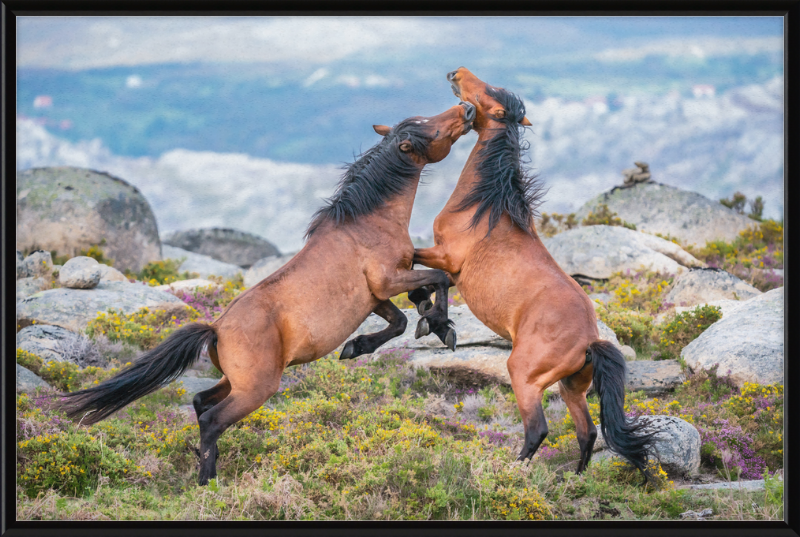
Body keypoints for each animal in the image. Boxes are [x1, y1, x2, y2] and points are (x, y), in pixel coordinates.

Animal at [62, 101, 478, 486]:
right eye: (429, 127)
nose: (467, 109)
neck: (367, 223)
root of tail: (216, 329)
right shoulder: (387, 281)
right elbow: (439, 280)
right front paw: (441, 327)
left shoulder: (375, 297)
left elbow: (402, 317)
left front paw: (360, 346)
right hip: (256, 389)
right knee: (211, 419)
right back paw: (207, 482)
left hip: (234, 382)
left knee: (199, 402)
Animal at [410, 68, 660, 482]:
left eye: (487, 93)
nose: (456, 74)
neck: (485, 207)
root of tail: (589, 341)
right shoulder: (449, 266)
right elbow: (430, 280)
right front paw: (435, 324)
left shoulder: (446, 257)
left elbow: (421, 271)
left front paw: (433, 323)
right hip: (572, 388)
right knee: (588, 431)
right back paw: (574, 479)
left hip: (524, 376)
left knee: (537, 429)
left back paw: (508, 473)